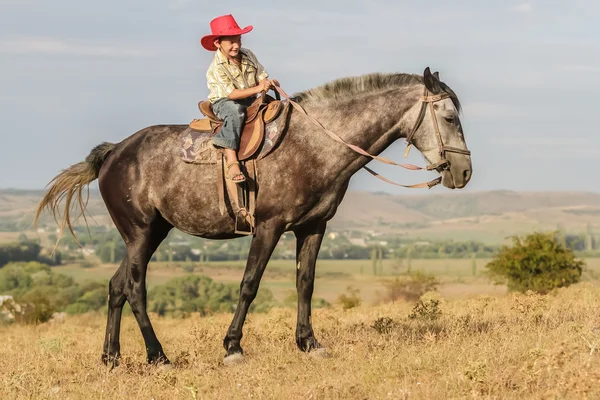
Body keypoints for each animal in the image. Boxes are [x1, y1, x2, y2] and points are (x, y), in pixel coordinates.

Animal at [35, 66, 474, 366]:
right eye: (450, 118)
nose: (464, 172)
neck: (315, 145)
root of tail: (113, 153)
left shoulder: (313, 228)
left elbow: (305, 283)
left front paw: (309, 343)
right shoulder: (268, 227)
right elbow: (249, 285)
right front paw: (233, 346)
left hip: (149, 233)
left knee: (116, 286)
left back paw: (111, 357)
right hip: (141, 233)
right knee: (136, 288)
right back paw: (158, 356)